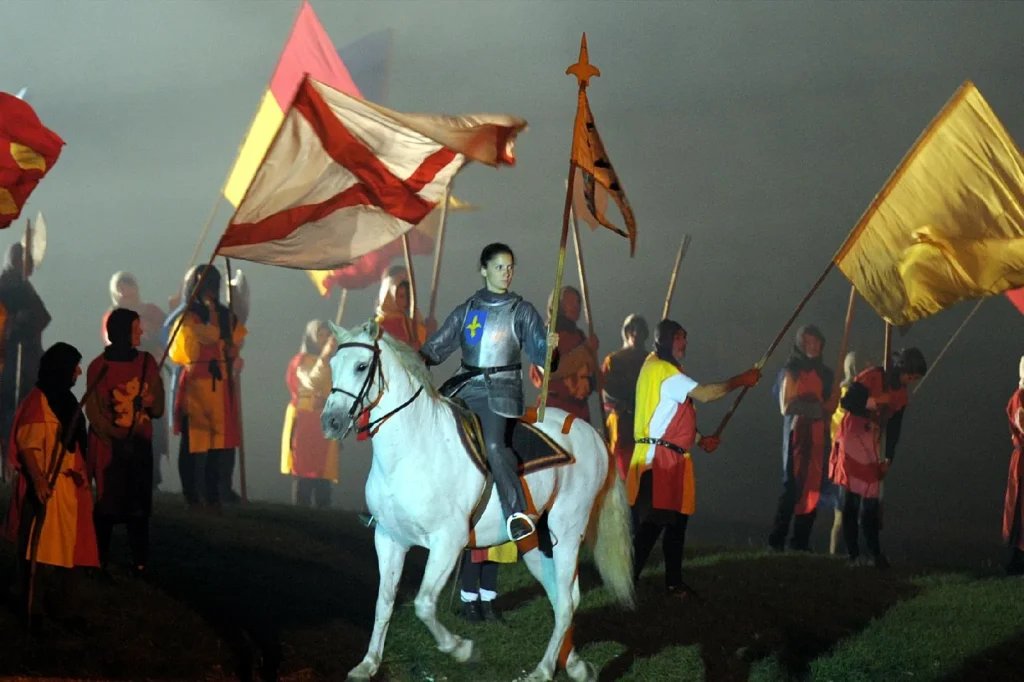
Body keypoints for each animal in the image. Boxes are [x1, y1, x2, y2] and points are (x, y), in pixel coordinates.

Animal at [323, 319, 634, 679]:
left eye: (361, 366)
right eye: (332, 365)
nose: (330, 422)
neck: (412, 449)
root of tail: (591, 433)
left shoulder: (448, 542)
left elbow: (424, 604)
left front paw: (461, 649)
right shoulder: (389, 539)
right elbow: (384, 602)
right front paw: (368, 664)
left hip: (568, 531)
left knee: (568, 601)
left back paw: (543, 670)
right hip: (536, 543)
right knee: (562, 599)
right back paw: (574, 666)